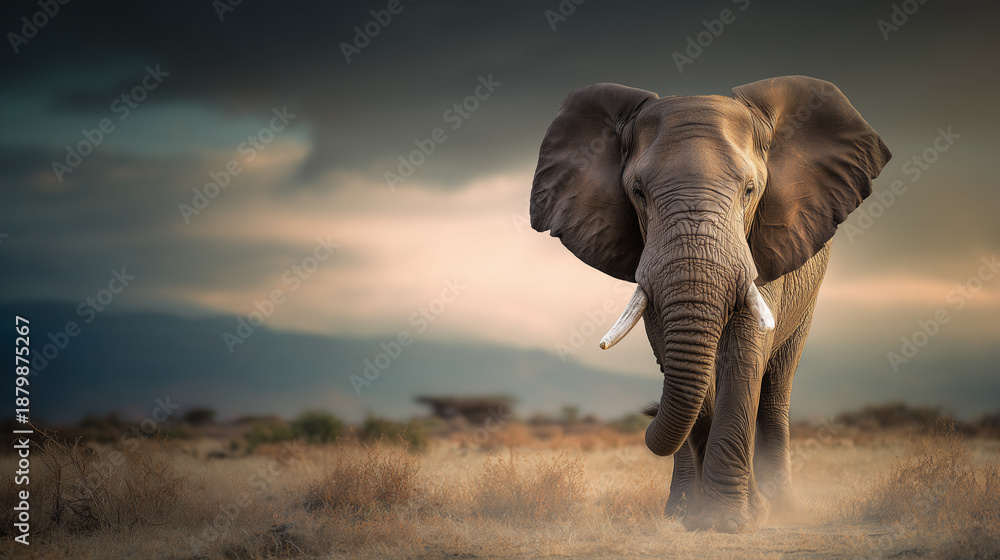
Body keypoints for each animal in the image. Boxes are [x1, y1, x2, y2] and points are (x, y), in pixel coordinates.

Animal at [529, 76, 890, 533]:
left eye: (749, 191)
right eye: (638, 192)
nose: (646, 411)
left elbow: (743, 354)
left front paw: (728, 521)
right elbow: (675, 354)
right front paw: (698, 515)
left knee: (776, 385)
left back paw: (781, 507)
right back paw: (686, 510)